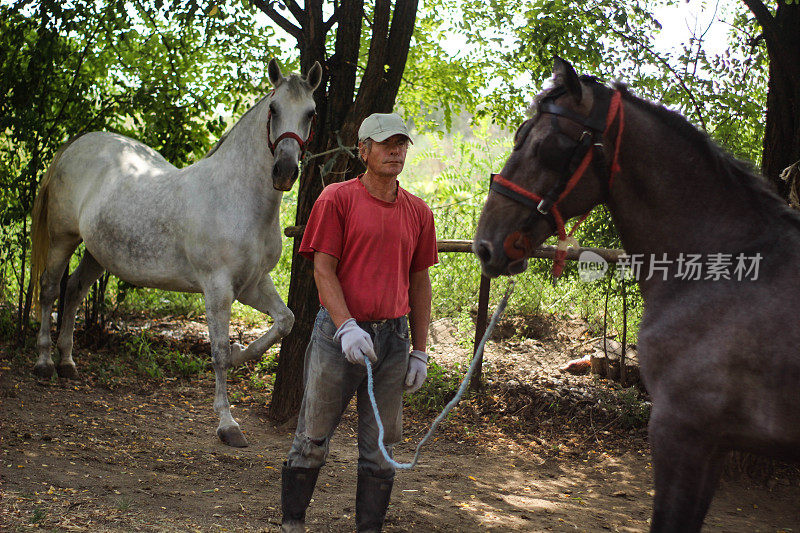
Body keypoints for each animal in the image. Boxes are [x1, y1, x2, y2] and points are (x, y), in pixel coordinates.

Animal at [32, 58, 318, 446]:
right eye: (274, 109)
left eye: (311, 113)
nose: (285, 171)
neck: (236, 198)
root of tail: (78, 143)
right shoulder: (218, 288)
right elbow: (217, 353)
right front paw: (227, 424)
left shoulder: (253, 284)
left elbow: (285, 321)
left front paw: (241, 354)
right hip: (63, 237)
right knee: (49, 289)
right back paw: (44, 364)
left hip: (97, 252)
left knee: (74, 289)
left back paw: (67, 363)